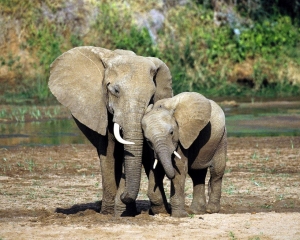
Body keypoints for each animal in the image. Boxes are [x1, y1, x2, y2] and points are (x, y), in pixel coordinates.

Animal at [48, 46, 172, 217]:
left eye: (152, 96)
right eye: (115, 91)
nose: (123, 195)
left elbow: (146, 152)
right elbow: (108, 151)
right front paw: (110, 212)